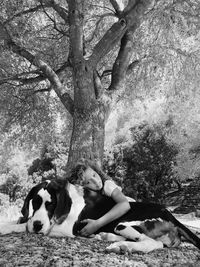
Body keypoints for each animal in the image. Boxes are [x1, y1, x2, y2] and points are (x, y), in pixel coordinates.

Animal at [0, 180, 200, 253]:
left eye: (51, 204)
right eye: (35, 203)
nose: (37, 225)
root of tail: (171, 215)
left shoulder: (64, 228)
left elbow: (22, 225)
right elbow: (22, 221)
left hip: (123, 224)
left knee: (153, 244)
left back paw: (123, 246)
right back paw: (106, 236)